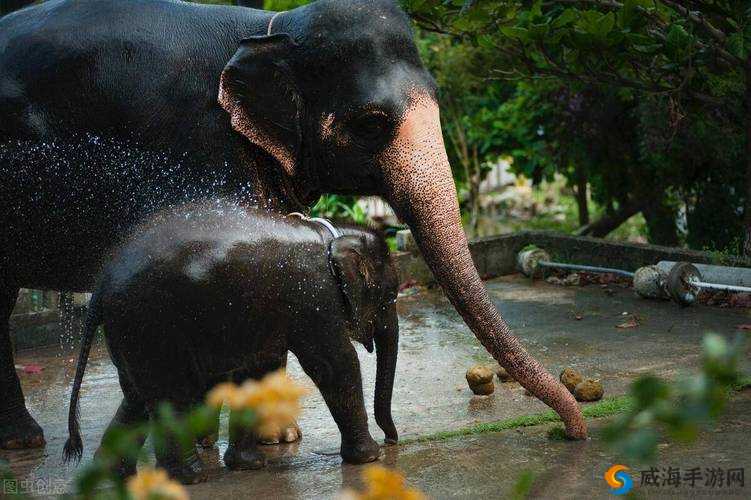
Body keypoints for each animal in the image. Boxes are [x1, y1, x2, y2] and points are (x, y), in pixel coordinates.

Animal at [0, 0, 585, 450]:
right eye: (371, 123)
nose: (572, 432)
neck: (266, 30)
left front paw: (278, 440)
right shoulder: (200, 145)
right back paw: (27, 441)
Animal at [62, 201, 400, 483]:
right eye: (390, 297)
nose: (392, 440)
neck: (332, 235)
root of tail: (101, 285)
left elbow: (257, 371)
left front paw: (248, 465)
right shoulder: (315, 297)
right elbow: (335, 364)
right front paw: (369, 458)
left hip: (131, 334)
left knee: (136, 397)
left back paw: (115, 474)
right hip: (150, 325)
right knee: (173, 394)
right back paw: (191, 477)